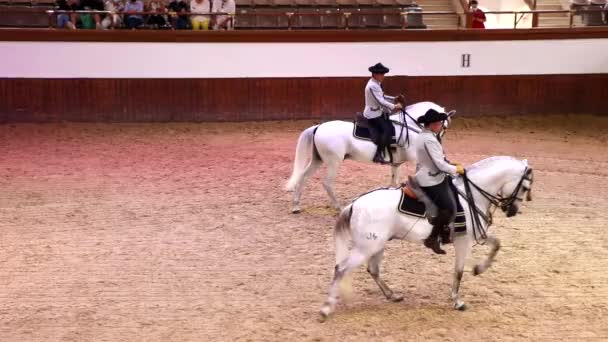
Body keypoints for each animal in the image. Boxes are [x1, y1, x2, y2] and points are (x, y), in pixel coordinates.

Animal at [288, 100, 454, 212]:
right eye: (444, 126)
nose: (437, 141)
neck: (409, 127)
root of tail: (318, 127)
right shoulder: (418, 159)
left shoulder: (396, 163)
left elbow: (394, 181)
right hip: (333, 162)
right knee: (327, 183)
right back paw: (338, 206)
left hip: (318, 160)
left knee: (303, 176)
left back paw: (296, 205)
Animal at [318, 156, 532, 320]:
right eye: (524, 187)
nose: (512, 211)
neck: (470, 195)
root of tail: (355, 204)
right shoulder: (463, 241)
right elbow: (458, 271)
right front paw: (457, 301)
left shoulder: (476, 235)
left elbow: (496, 245)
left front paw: (479, 269)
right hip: (366, 247)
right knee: (341, 269)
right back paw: (326, 309)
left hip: (376, 245)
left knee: (373, 269)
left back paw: (392, 295)